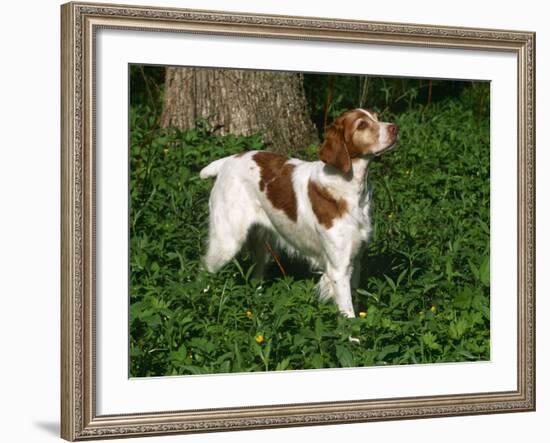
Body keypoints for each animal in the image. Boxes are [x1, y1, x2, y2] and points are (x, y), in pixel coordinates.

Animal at [201, 110, 398, 320]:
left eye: (376, 117)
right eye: (362, 125)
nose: (395, 128)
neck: (348, 188)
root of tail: (227, 161)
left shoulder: (356, 260)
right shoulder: (338, 269)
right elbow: (349, 316)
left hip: (263, 247)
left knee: (256, 276)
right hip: (227, 242)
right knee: (204, 270)